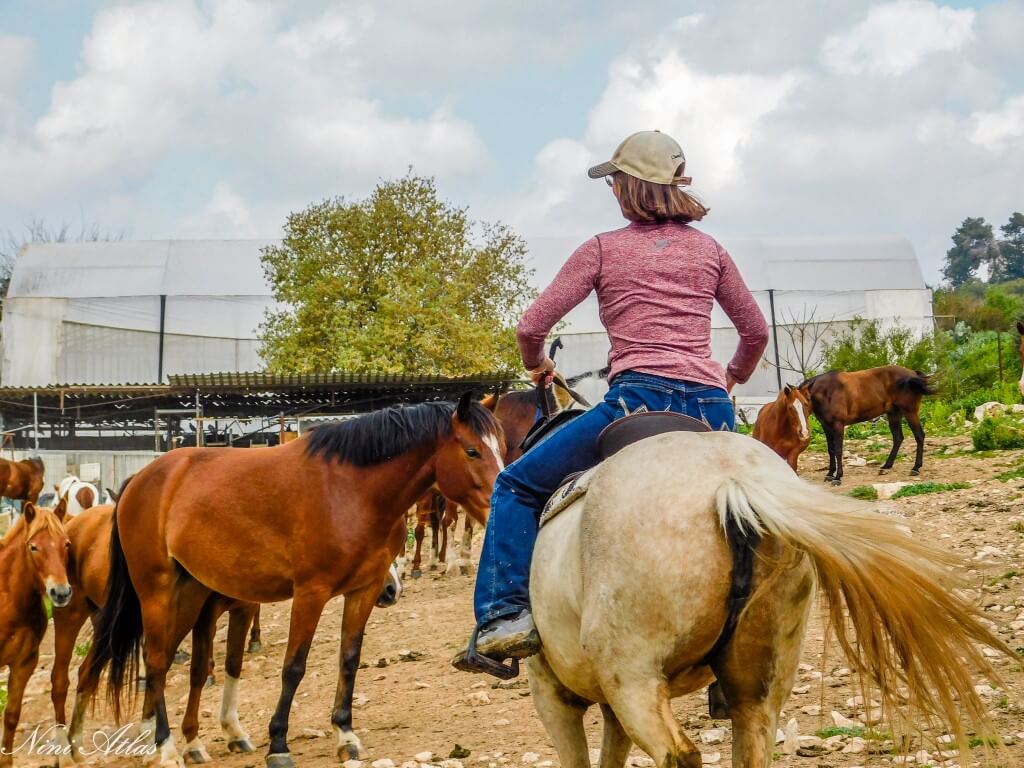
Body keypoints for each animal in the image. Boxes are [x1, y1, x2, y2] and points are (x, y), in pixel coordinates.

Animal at [79, 397, 499, 768]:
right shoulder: (310, 593)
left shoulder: (362, 591)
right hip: (156, 592)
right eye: (473, 451)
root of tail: (141, 479)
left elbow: (349, 660)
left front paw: (345, 735)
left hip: (189, 596)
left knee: (162, 662)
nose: (497, 505)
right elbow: (294, 667)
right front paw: (278, 744)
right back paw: (161, 748)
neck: (350, 491)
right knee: (154, 661)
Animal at [528, 434, 1015, 768]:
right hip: (759, 683)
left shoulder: (553, 694)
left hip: (635, 681)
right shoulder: (607, 709)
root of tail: (731, 481)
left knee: (680, 755)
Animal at [798, 366, 937, 487]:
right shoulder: (826, 426)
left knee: (919, 435)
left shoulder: (838, 425)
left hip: (910, 412)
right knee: (898, 438)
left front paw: (838, 477)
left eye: (803, 403)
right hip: (893, 414)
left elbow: (838, 450)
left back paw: (915, 468)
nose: (802, 431)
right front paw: (830, 474)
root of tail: (914, 374)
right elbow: (830, 449)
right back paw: (886, 466)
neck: (827, 391)